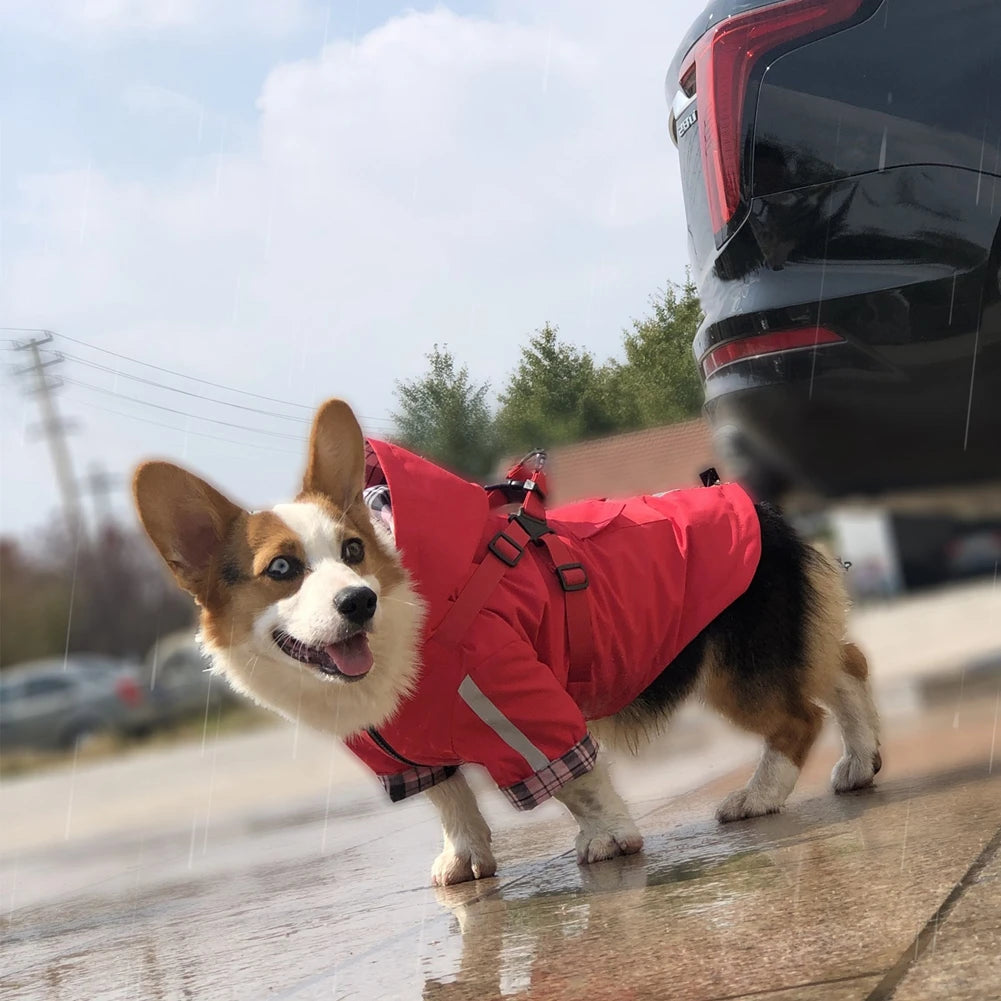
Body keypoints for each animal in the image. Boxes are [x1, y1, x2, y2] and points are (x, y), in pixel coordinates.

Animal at [133, 396, 876, 884]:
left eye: (351, 551)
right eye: (281, 570)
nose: (359, 601)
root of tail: (759, 504)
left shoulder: (521, 706)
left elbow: (579, 780)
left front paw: (609, 839)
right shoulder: (407, 756)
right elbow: (451, 802)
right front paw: (465, 861)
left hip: (735, 669)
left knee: (798, 717)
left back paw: (758, 797)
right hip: (785, 642)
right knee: (845, 667)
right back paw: (861, 760)